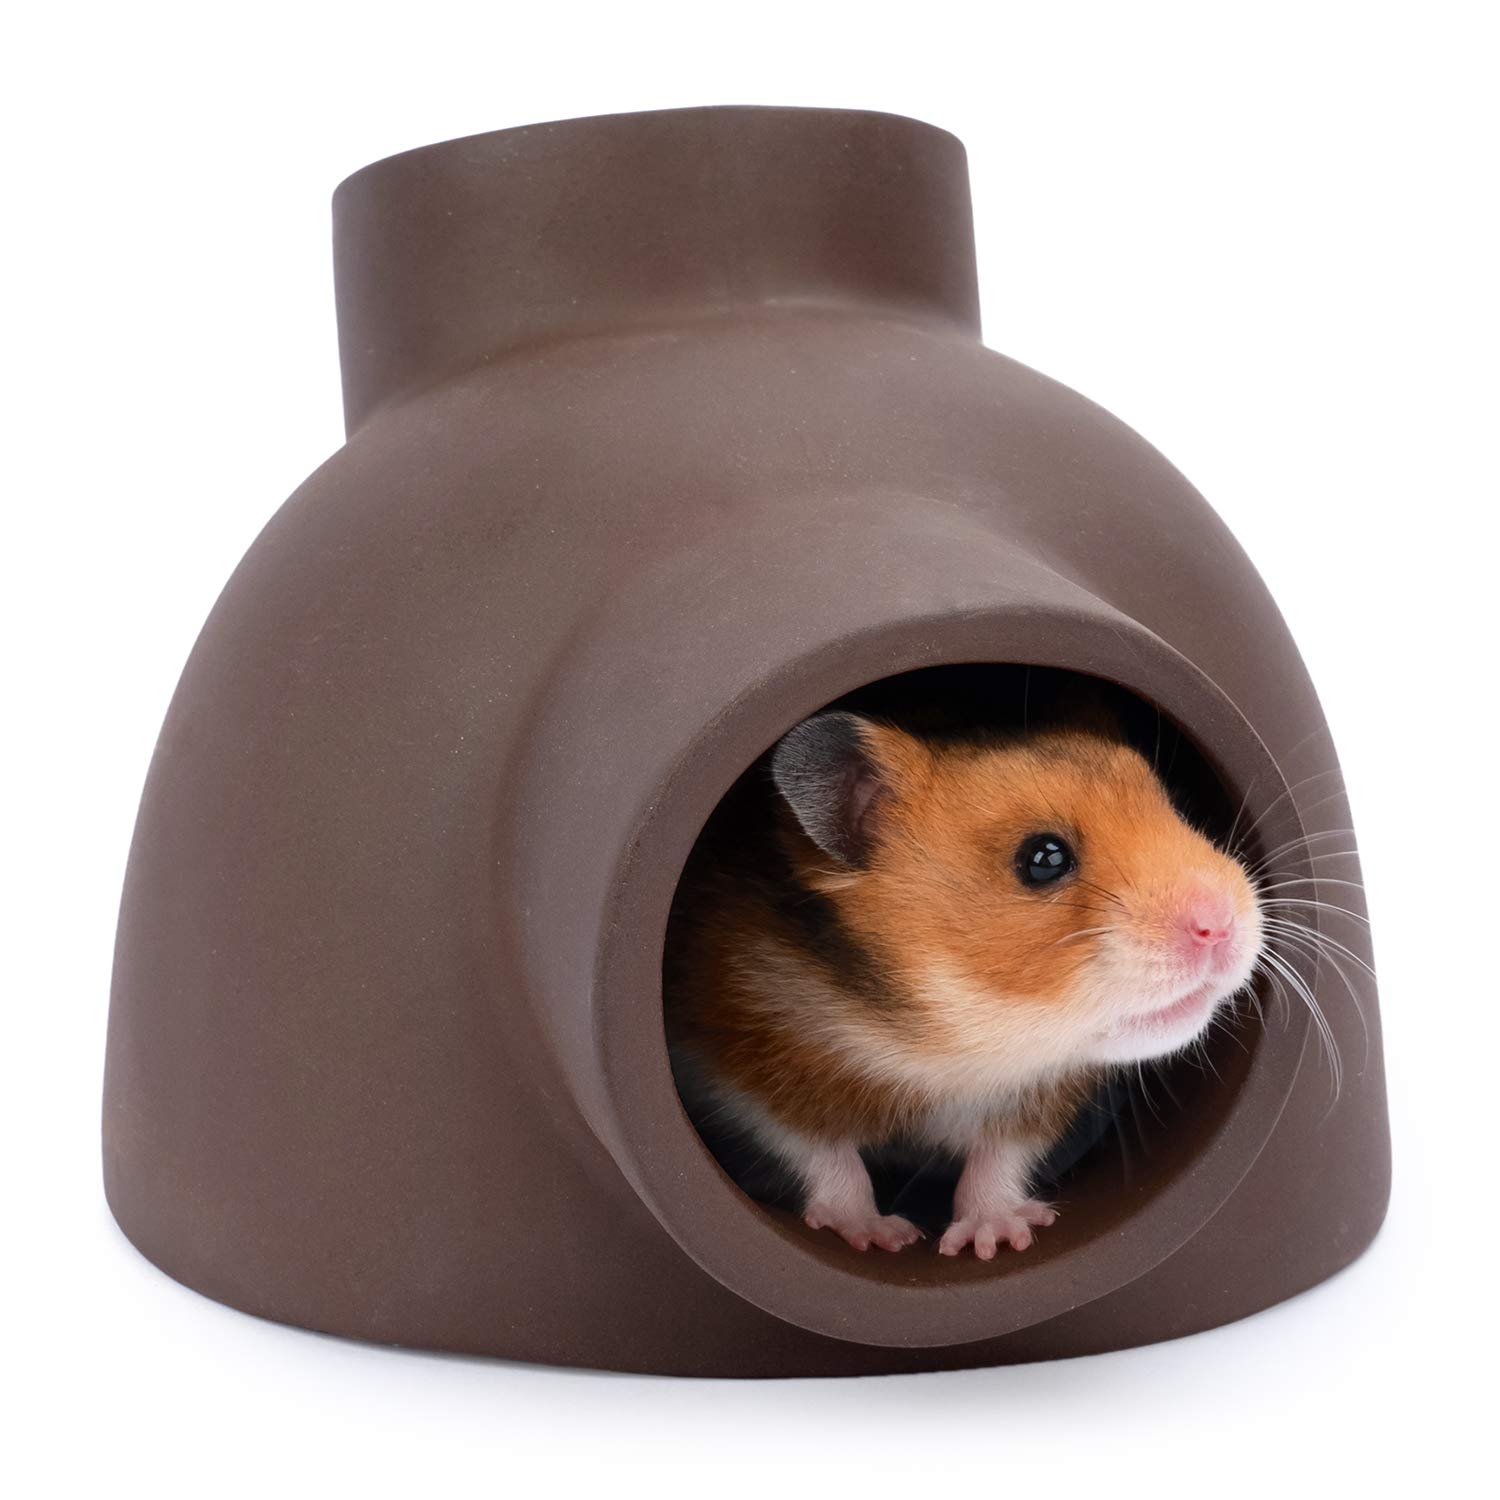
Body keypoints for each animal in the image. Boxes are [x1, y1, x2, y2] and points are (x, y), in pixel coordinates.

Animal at [664, 710, 1264, 1258]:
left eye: (1175, 806)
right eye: (1043, 858)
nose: (1220, 924)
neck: (948, 1045)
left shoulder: (1037, 1100)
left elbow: (999, 1157)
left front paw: (996, 1239)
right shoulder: (738, 1060)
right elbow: (819, 1150)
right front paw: (882, 1239)